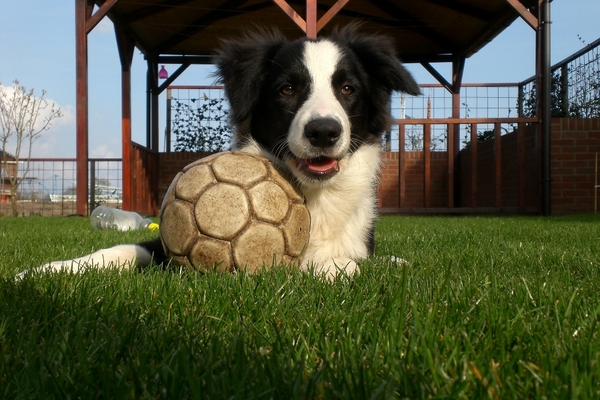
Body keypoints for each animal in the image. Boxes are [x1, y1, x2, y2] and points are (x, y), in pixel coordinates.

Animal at [23, 25, 420, 280]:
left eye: (348, 89)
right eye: (287, 89)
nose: (323, 131)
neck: (312, 194)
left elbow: (339, 261)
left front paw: (334, 267)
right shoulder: (161, 247)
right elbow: (125, 249)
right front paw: (49, 270)